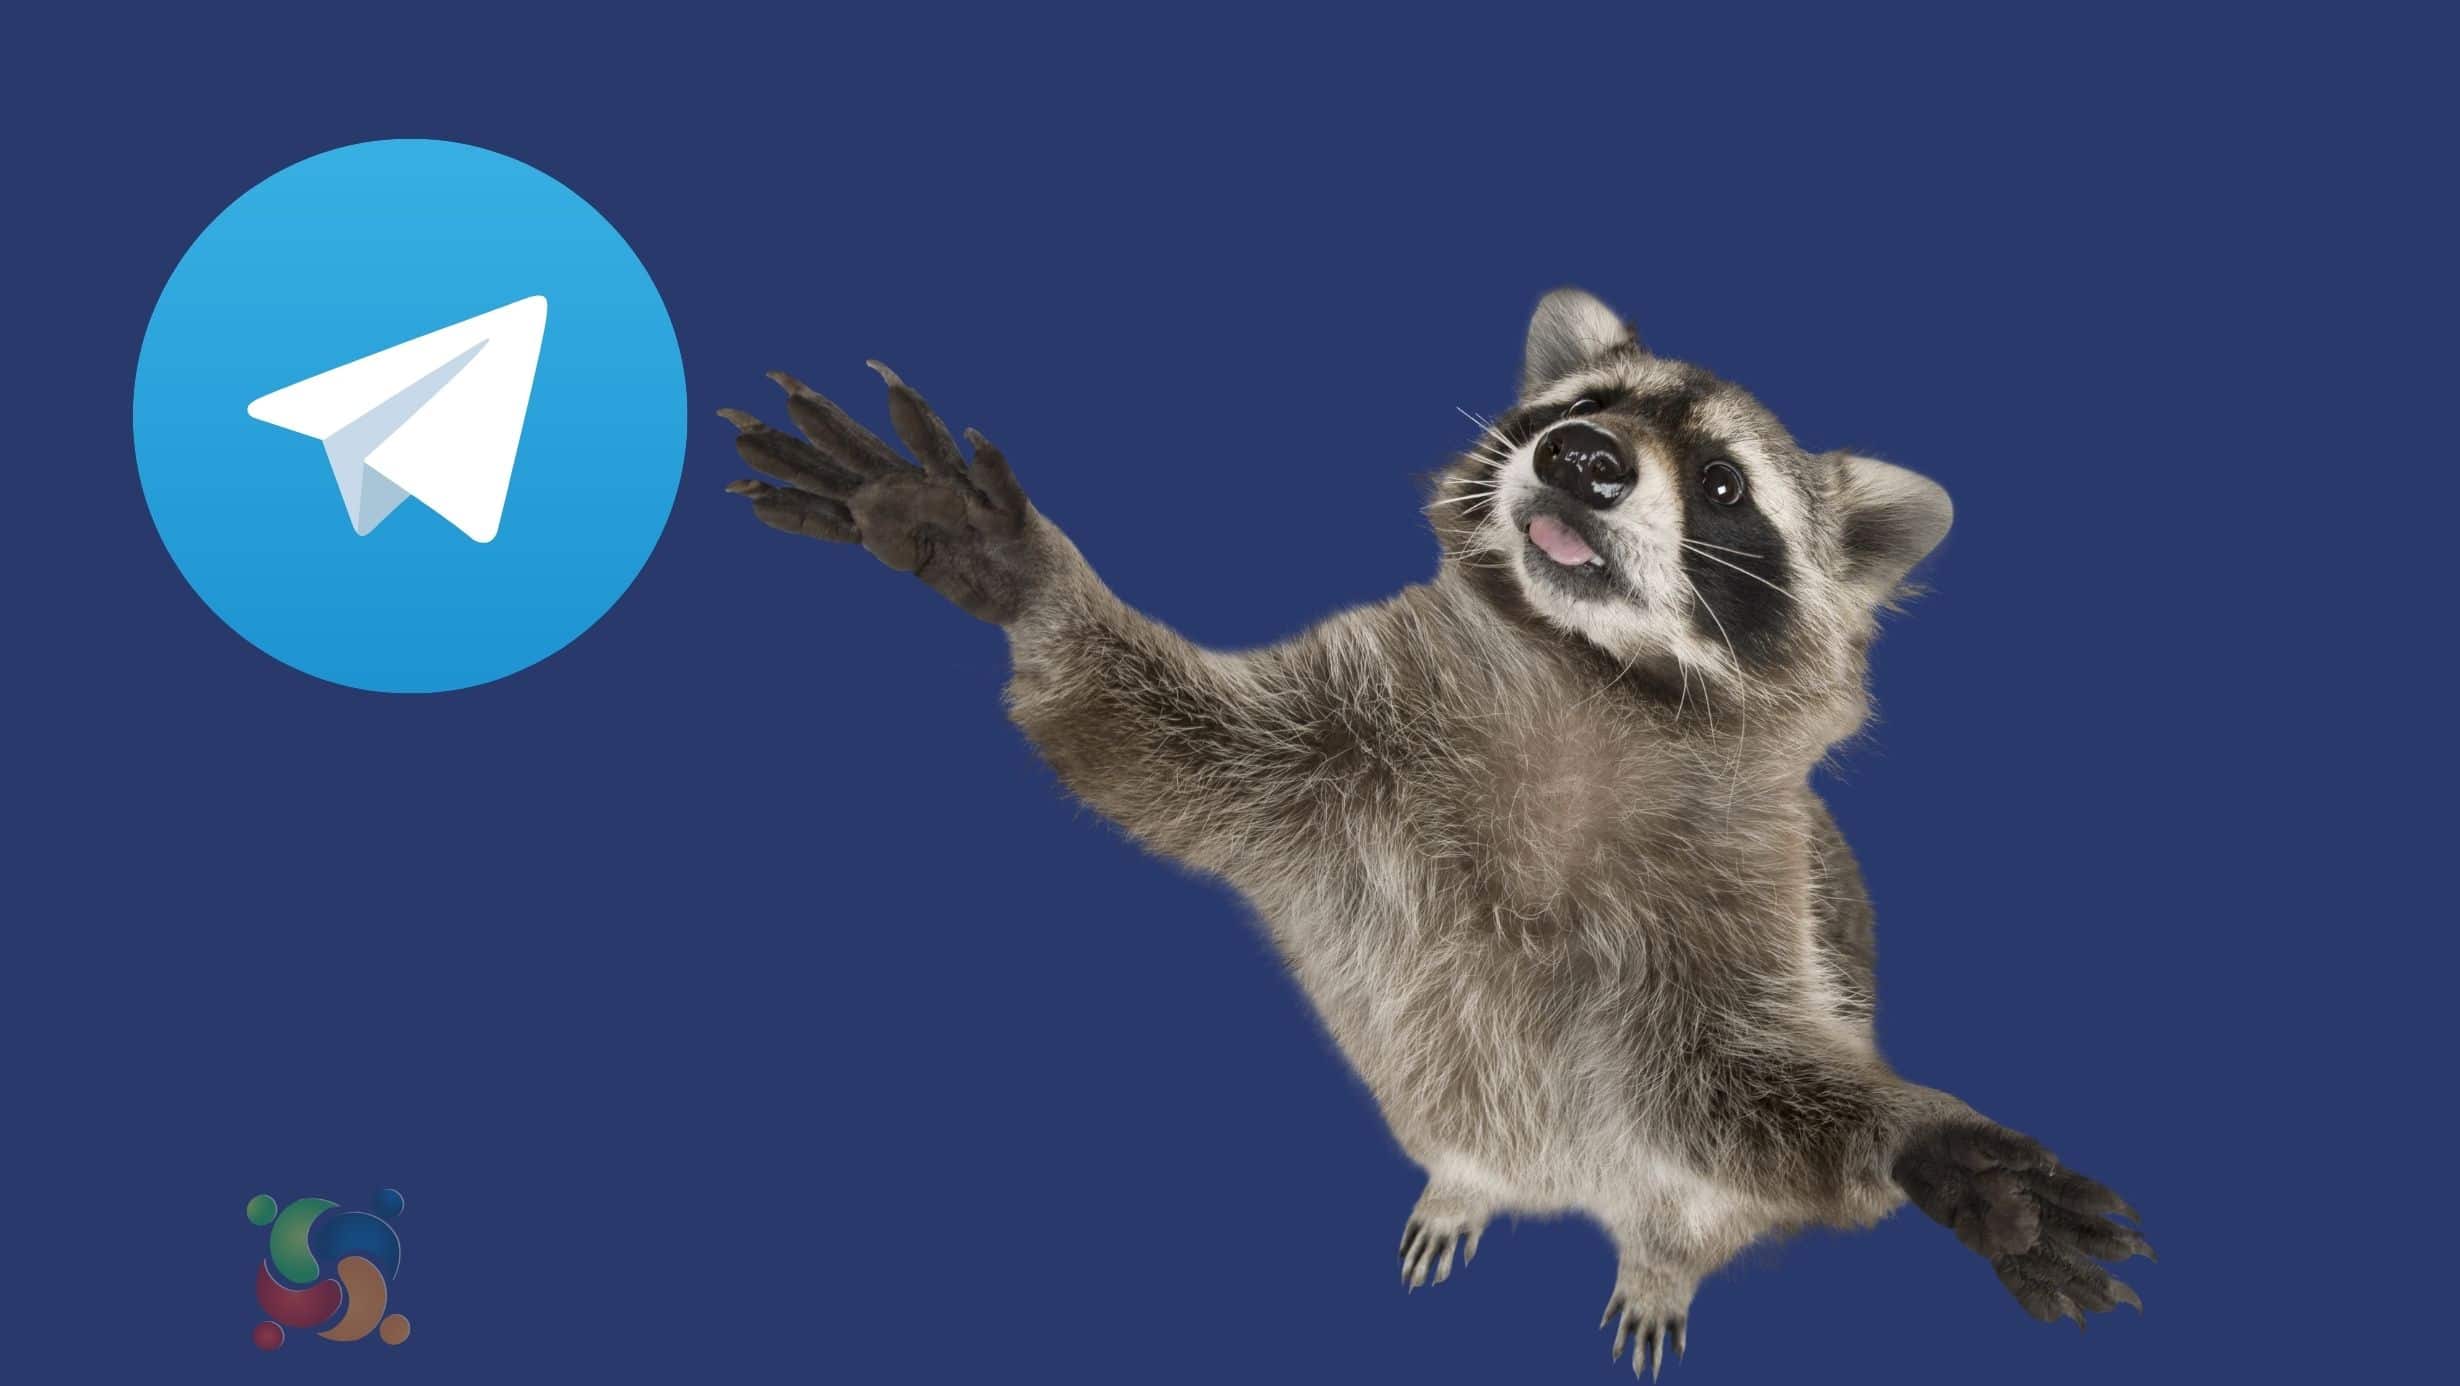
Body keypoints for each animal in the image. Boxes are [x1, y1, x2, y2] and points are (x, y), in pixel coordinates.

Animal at [722, 289, 2149, 1375]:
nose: (1581, 458)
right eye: (1578, 407)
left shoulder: (1738, 896)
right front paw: (1010, 567)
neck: (1583, 674)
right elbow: (1159, 741)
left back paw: (1661, 1260)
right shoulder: (1337, 738)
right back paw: (1464, 1179)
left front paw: (1930, 1141)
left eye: (1724, 485)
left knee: (1695, 1199)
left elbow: (1735, 1081)